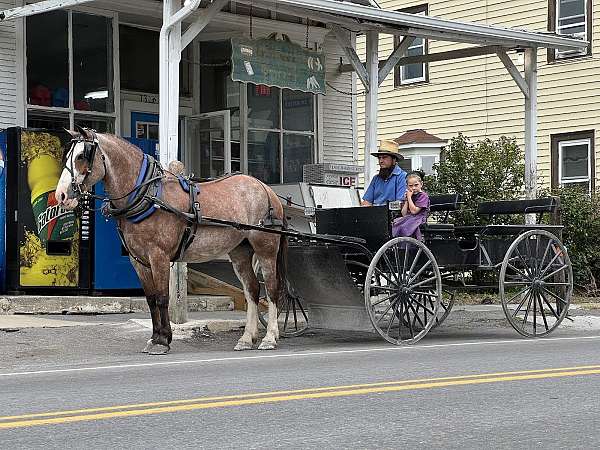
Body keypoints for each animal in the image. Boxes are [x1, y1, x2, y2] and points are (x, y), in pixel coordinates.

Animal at [55, 127, 288, 356]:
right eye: (67, 155)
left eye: (82, 156)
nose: (61, 195)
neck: (147, 195)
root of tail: (266, 189)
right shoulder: (137, 260)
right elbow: (150, 299)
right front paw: (155, 337)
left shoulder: (159, 256)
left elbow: (162, 297)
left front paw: (163, 340)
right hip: (240, 251)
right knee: (252, 291)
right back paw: (247, 338)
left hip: (266, 249)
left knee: (272, 289)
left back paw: (269, 337)